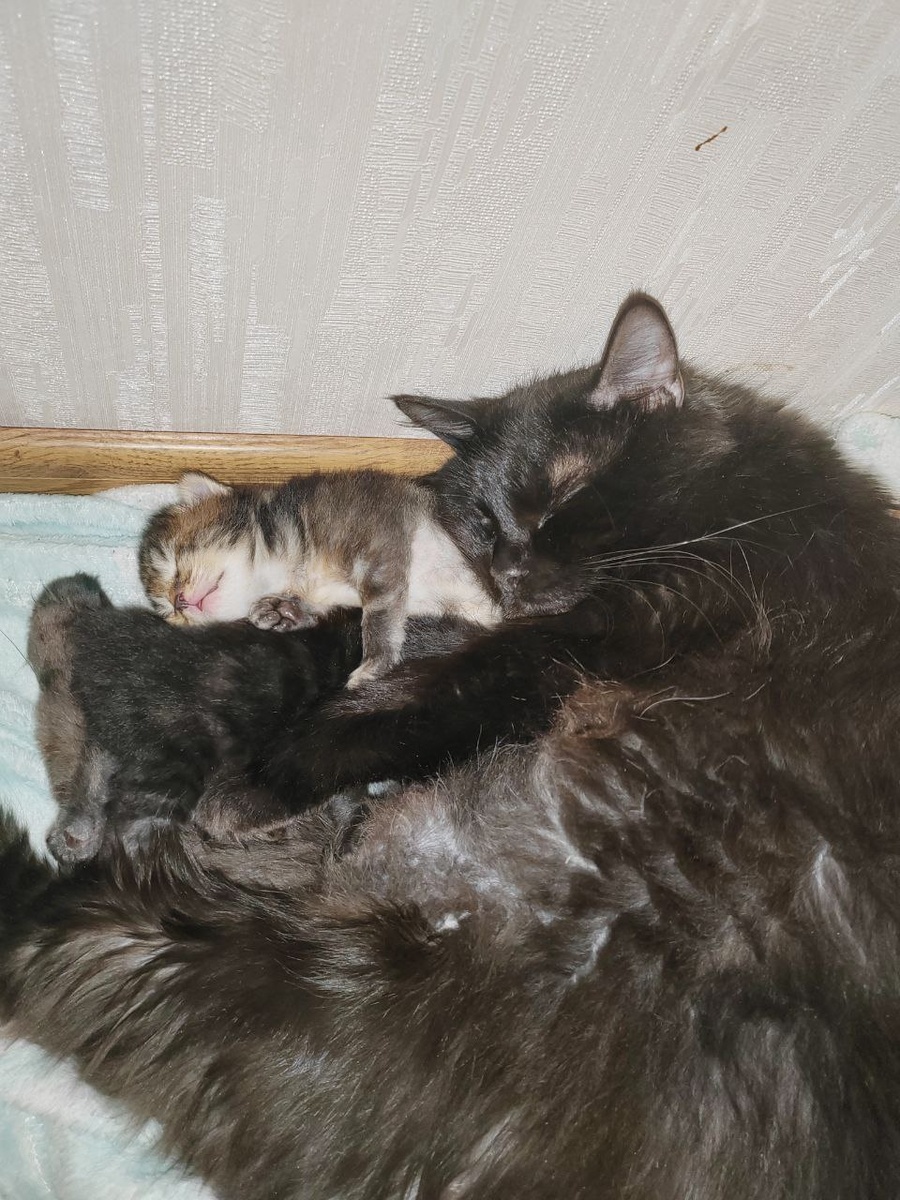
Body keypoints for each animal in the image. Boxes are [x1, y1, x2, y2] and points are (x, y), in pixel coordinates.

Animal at [139, 467, 498, 687]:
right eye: (166, 611)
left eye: (175, 556)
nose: (179, 602)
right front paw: (279, 611)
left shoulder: (383, 538)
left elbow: (380, 612)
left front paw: (375, 662)